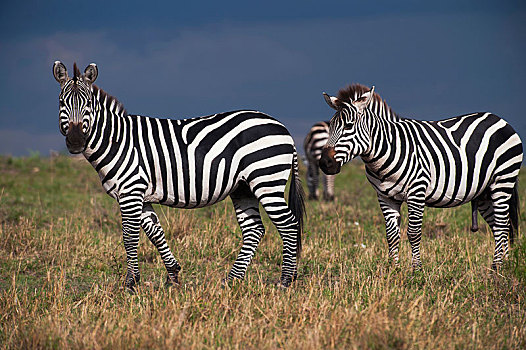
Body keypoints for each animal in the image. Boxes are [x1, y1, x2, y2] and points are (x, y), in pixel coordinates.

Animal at [51, 61, 308, 292]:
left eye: (88, 105)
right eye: (62, 102)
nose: (75, 142)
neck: (118, 141)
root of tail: (283, 128)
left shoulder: (130, 191)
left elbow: (129, 237)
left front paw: (130, 284)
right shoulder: (142, 195)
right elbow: (155, 233)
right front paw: (173, 276)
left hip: (266, 180)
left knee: (288, 224)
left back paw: (285, 281)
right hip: (243, 187)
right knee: (254, 230)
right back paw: (231, 281)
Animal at [322, 85, 524, 270]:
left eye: (348, 126)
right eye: (330, 126)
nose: (325, 163)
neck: (388, 149)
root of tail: (499, 119)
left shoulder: (416, 191)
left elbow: (413, 233)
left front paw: (416, 270)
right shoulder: (385, 196)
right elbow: (391, 235)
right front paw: (393, 270)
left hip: (503, 180)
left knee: (502, 225)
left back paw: (497, 268)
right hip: (484, 192)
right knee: (500, 226)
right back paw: (503, 267)